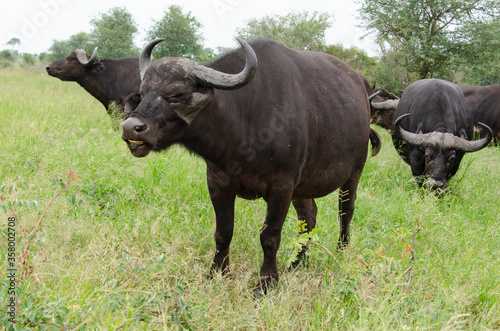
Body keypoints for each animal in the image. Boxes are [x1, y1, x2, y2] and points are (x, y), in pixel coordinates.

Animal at [120, 37, 378, 296]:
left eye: (177, 94)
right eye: (143, 92)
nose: (131, 128)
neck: (246, 124)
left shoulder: (282, 187)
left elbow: (270, 237)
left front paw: (266, 283)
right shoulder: (217, 183)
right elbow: (223, 232)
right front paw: (217, 274)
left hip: (354, 172)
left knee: (345, 211)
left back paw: (341, 251)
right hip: (302, 188)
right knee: (309, 216)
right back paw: (297, 263)